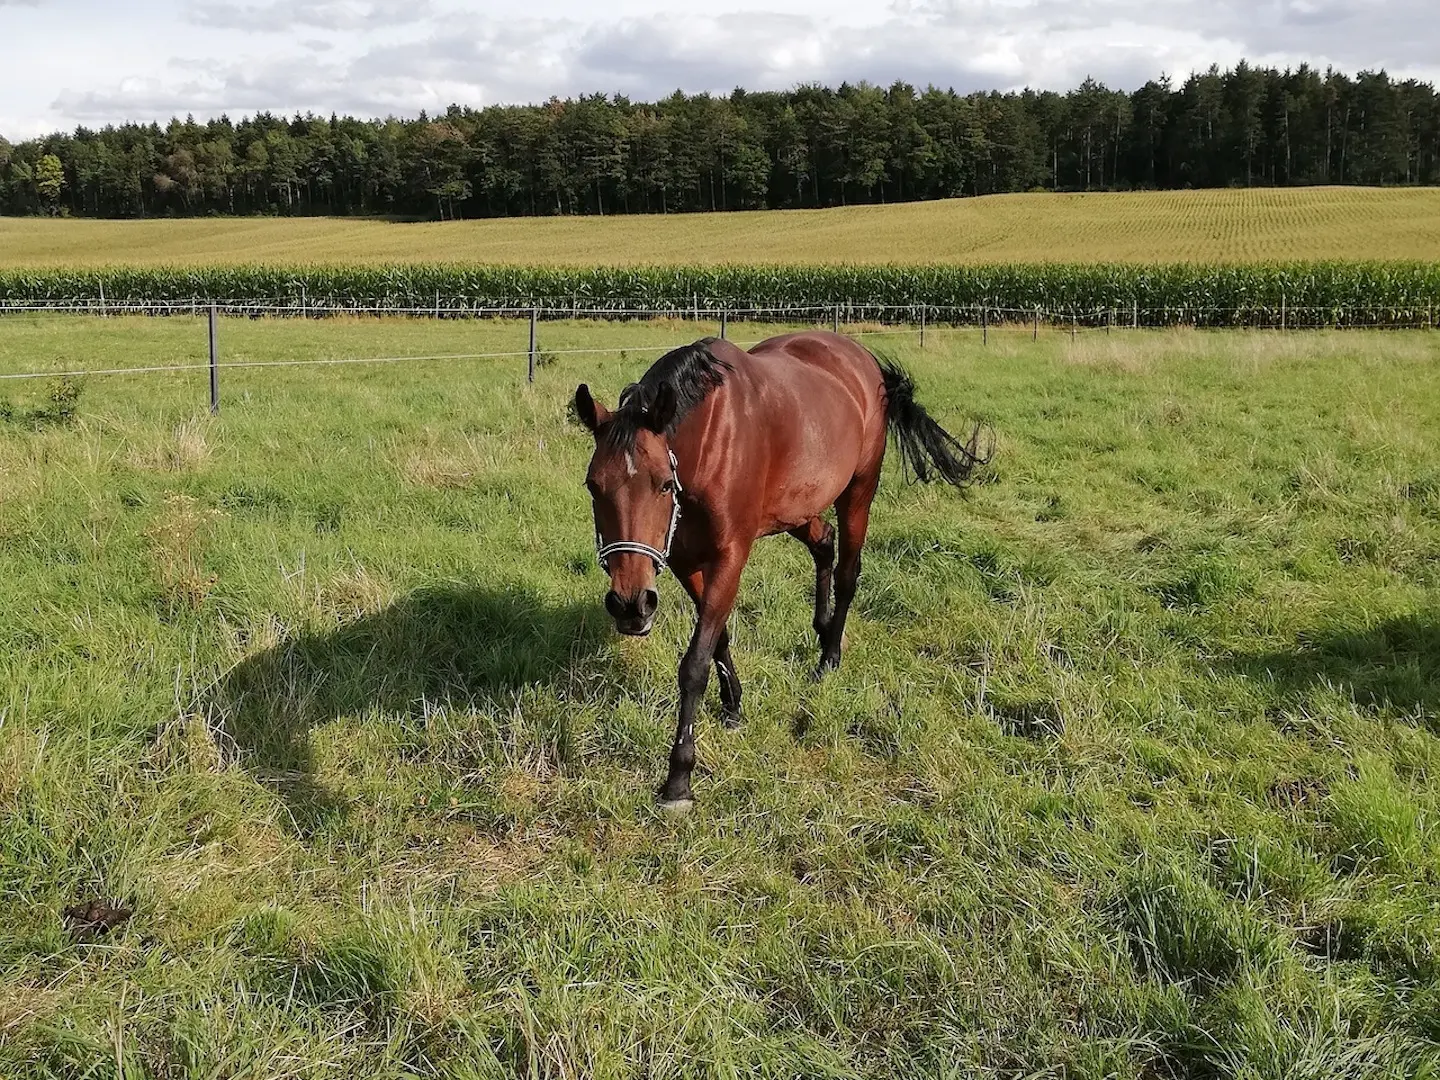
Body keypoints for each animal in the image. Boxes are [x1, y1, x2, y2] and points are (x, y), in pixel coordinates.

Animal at [573, 334, 990, 806]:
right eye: (593, 485)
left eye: (663, 483)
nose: (630, 605)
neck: (710, 440)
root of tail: (863, 360)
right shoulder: (683, 561)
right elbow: (718, 638)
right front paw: (733, 705)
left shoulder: (730, 556)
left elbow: (695, 663)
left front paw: (679, 778)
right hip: (798, 507)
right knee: (824, 543)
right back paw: (822, 628)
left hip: (858, 492)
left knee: (847, 572)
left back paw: (829, 658)